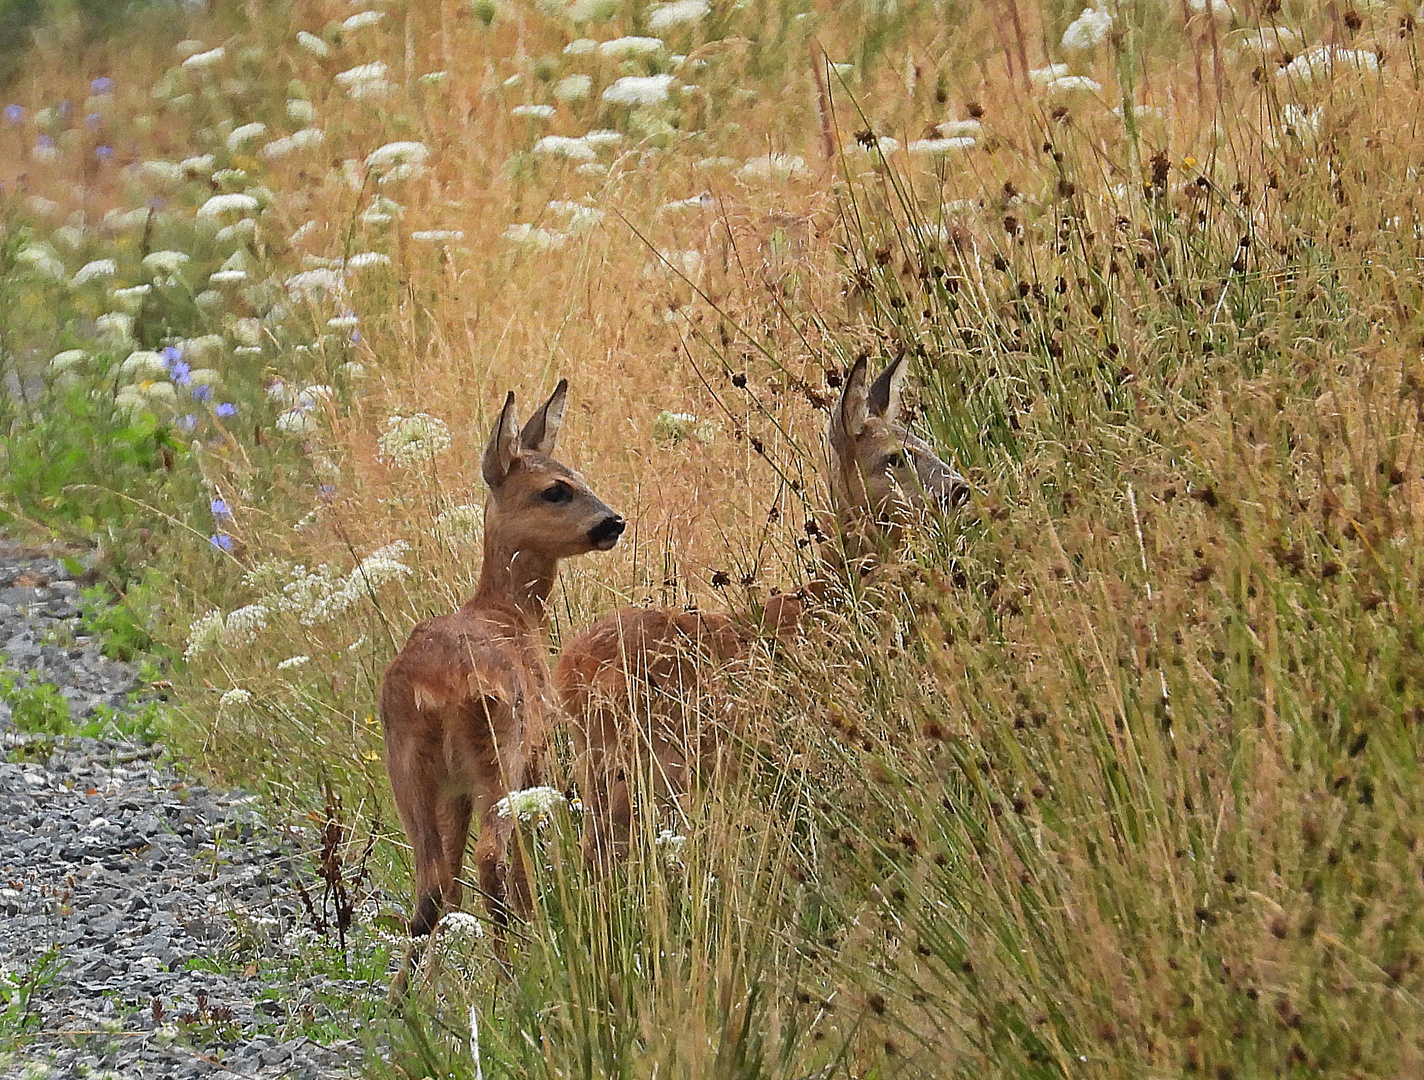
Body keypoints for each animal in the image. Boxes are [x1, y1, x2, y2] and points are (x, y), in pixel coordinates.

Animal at [378, 381, 623, 940]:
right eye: (555, 490)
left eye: (581, 478)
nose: (614, 522)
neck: (512, 615)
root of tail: (436, 689)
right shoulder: (539, 745)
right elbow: (526, 853)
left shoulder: (455, 789)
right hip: (498, 745)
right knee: (489, 857)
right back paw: (521, 949)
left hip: (407, 764)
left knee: (433, 879)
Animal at [552, 357, 968, 871]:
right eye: (895, 457)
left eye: (925, 444)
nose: (959, 489)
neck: (828, 605)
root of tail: (567, 670)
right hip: (646, 761)